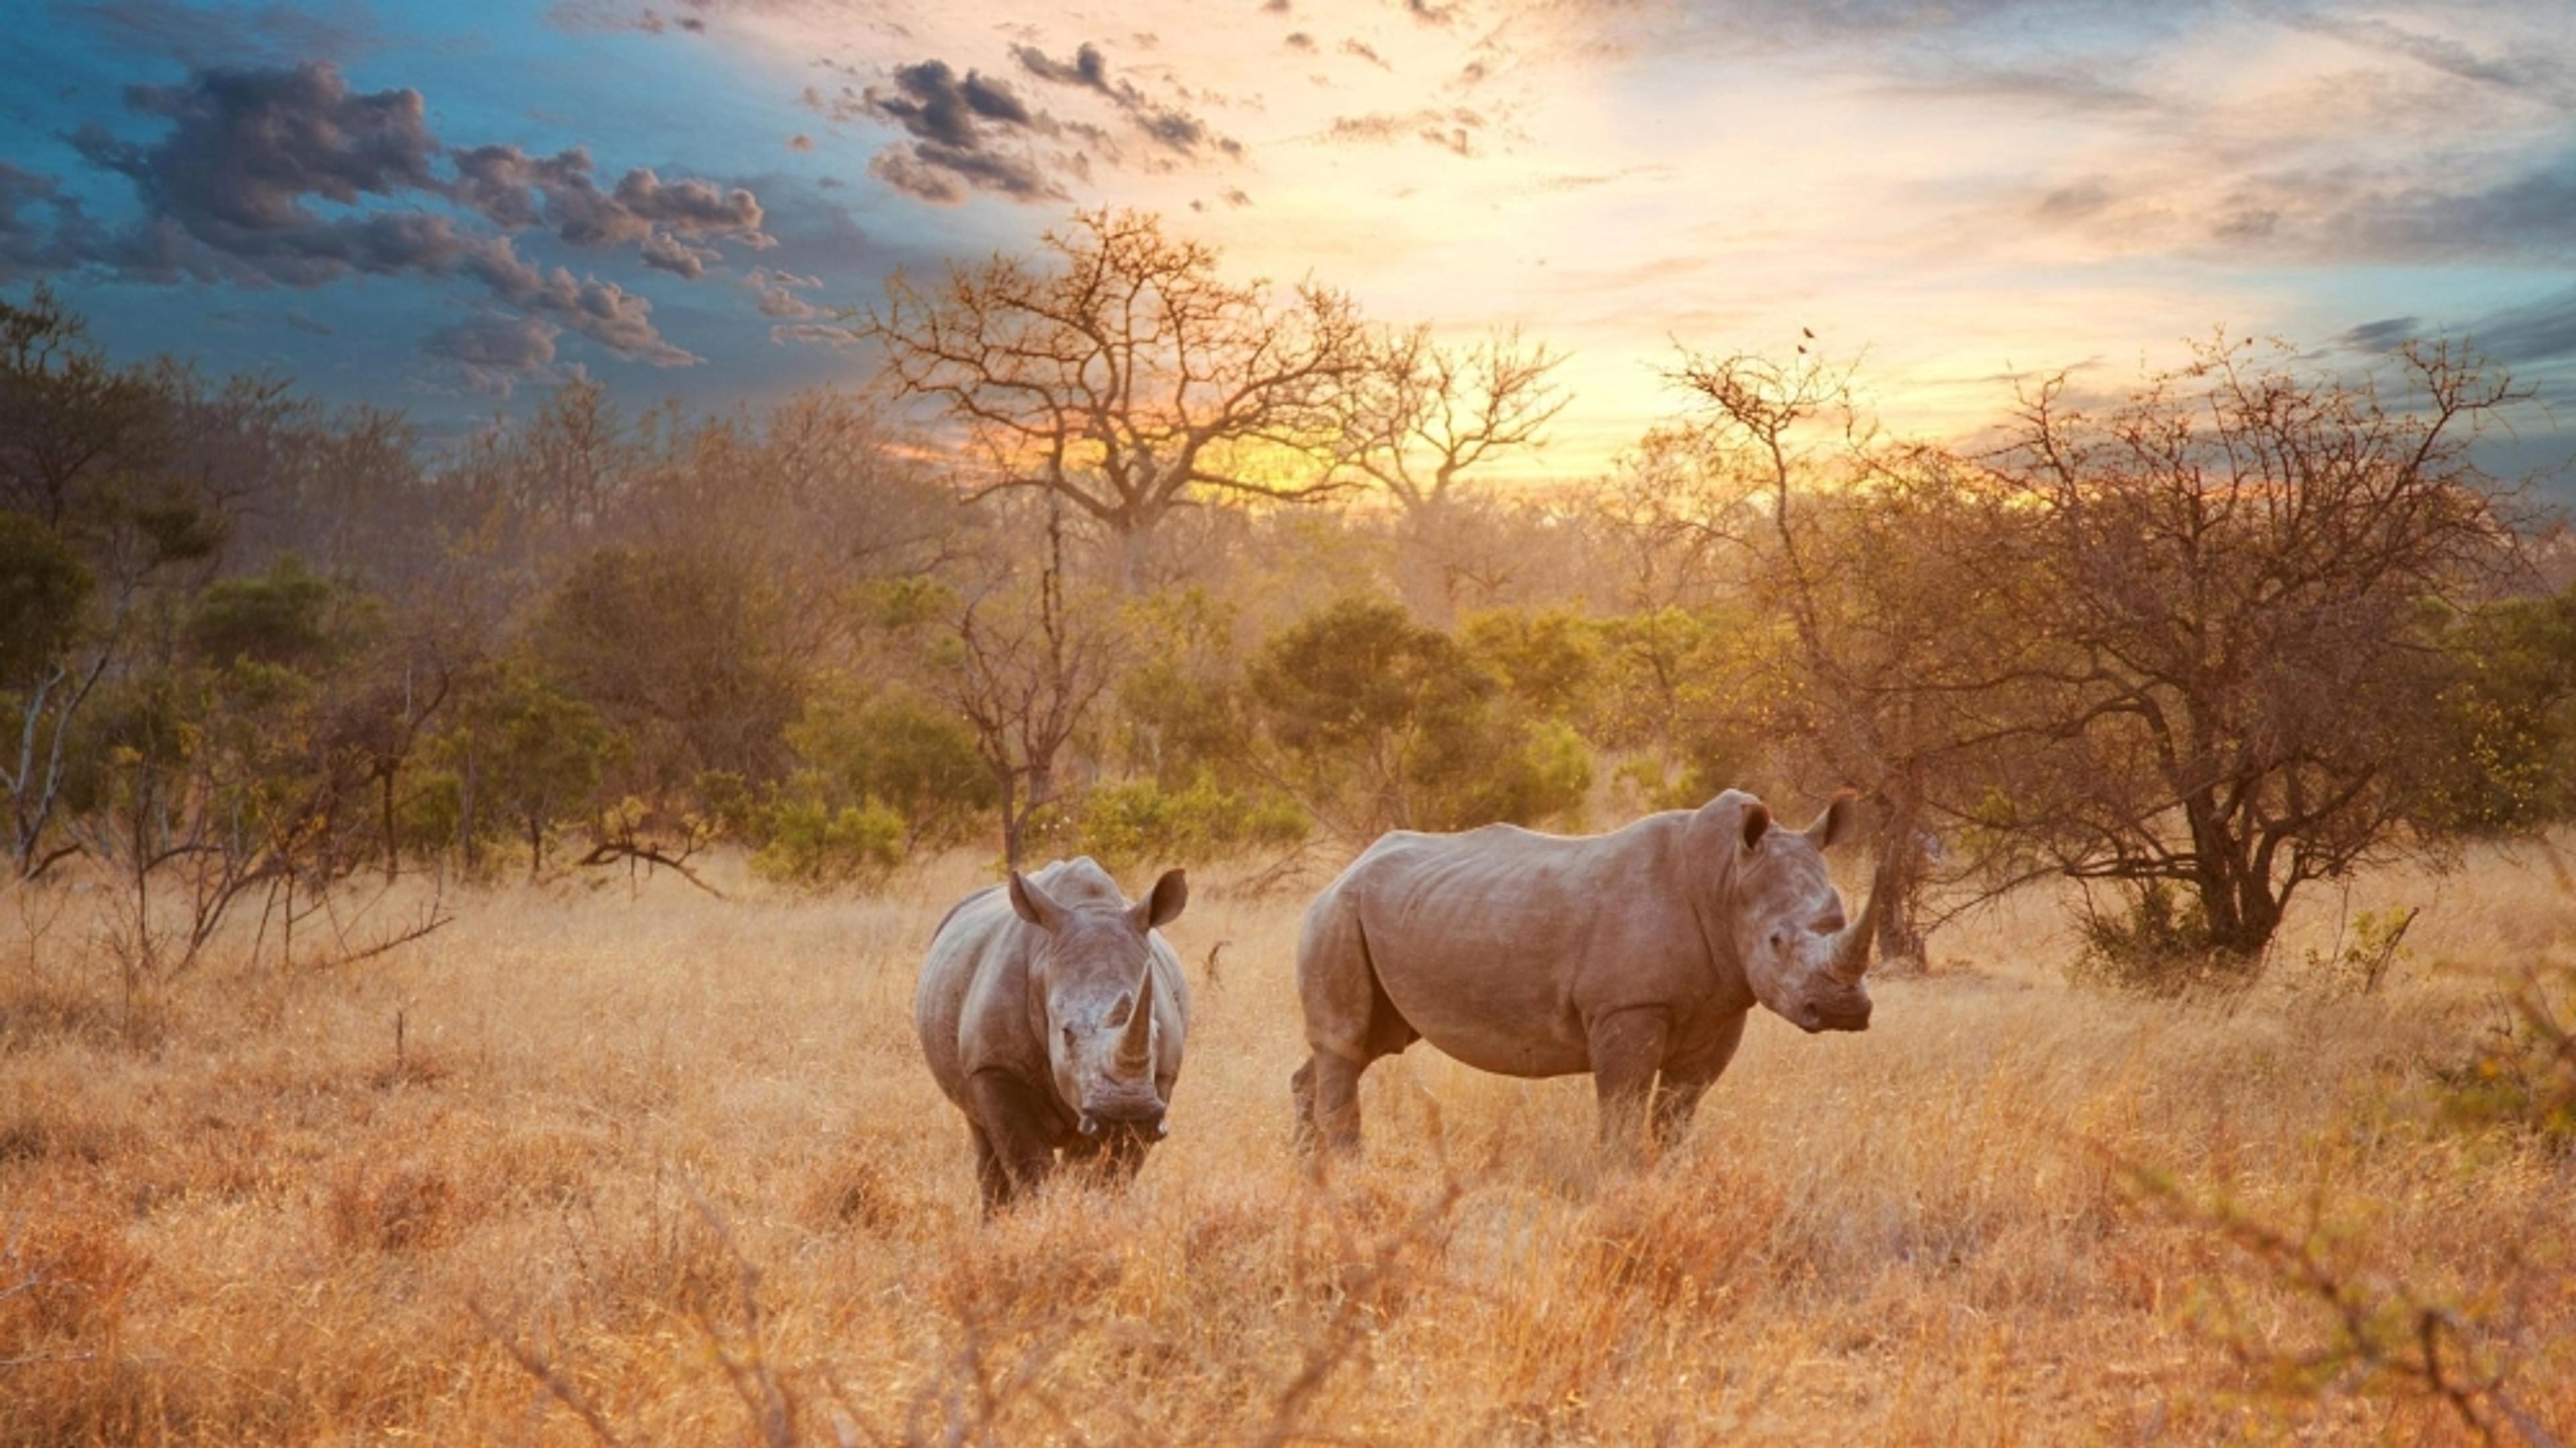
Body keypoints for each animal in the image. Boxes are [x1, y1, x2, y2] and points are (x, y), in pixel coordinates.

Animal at [917, 858, 1191, 1212]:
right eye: (1066, 1032)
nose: (1125, 1113)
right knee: (982, 1137)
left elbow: (1111, 1175)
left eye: (1156, 1032)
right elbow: (1029, 1166)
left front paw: (1094, 1212)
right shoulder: (995, 1065)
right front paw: (1041, 1216)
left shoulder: (1161, 1078)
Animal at [1291, 790, 1880, 1157]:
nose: (1845, 1010)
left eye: (1839, 919)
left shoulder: (1723, 1005)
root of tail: (1344, 871)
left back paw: (1310, 1172)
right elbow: (1622, 1113)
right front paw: (1622, 1188)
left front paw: (1669, 1180)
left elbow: (1676, 1115)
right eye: (1776, 942)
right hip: (1339, 911)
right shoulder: (1628, 1007)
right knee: (1346, 1043)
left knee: (1368, 1043)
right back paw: (1351, 1174)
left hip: (1388, 912)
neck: (1726, 880)